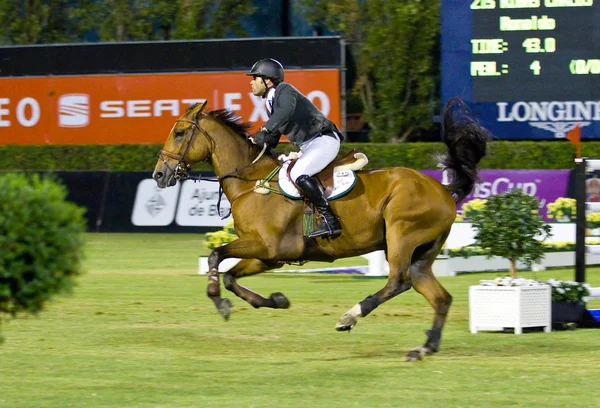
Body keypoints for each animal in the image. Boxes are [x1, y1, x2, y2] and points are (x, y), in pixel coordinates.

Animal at [154, 97, 488, 362]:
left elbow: (215, 257)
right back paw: (424, 348)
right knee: (438, 296)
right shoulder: (269, 256)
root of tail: (443, 189)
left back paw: (350, 317)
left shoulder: (265, 246)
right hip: (422, 253)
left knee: (398, 281)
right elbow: (230, 276)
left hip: (401, 236)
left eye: (180, 133)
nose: (159, 175)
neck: (252, 183)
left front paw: (218, 300)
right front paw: (275, 300)